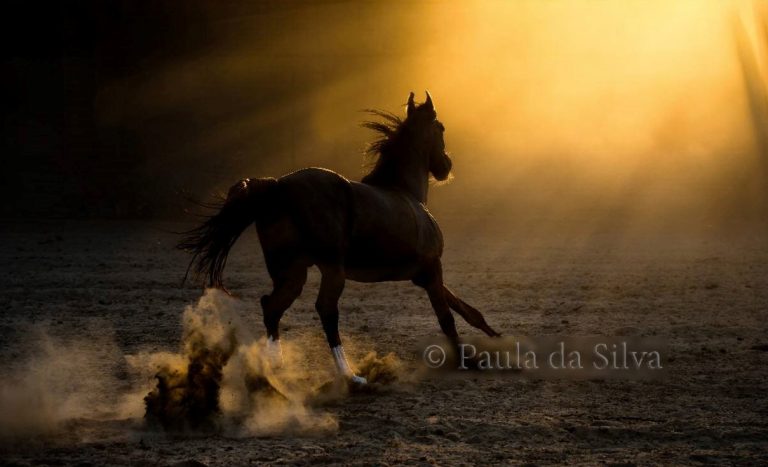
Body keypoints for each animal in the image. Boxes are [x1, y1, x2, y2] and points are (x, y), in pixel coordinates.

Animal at [179, 91, 500, 384]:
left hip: (291, 271)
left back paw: (274, 369)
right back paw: (350, 375)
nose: (446, 166)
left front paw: (493, 337)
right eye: (441, 128)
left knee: (271, 305)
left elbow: (465, 308)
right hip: (331, 269)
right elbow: (447, 317)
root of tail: (279, 186)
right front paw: (468, 359)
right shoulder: (432, 268)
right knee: (325, 309)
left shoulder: (421, 274)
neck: (406, 193)